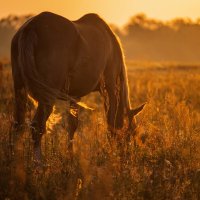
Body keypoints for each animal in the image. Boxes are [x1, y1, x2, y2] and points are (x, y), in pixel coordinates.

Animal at [10, 11, 145, 161]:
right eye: (130, 133)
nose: (126, 153)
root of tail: (31, 28)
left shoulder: (75, 95)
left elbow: (72, 125)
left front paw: (70, 154)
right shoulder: (110, 87)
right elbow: (111, 120)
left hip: (20, 88)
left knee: (18, 124)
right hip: (47, 96)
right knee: (37, 126)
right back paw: (38, 162)